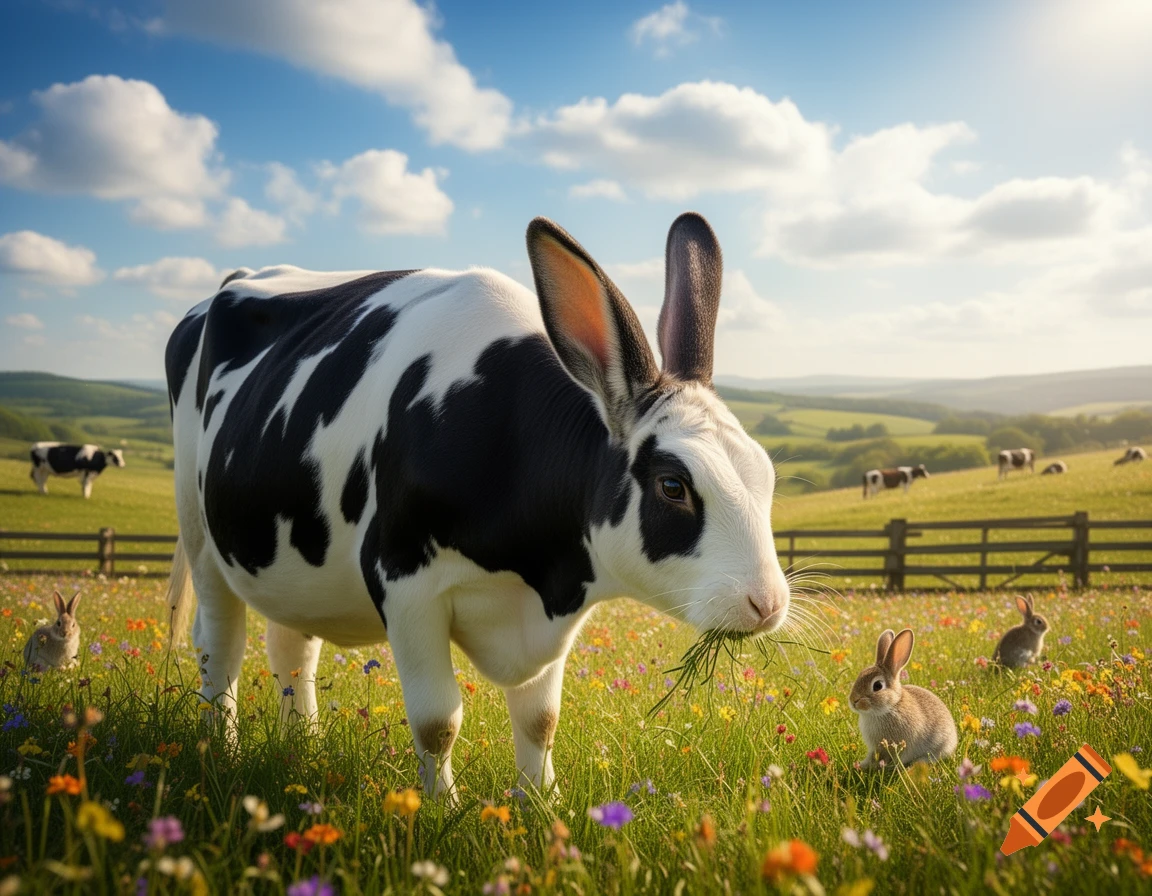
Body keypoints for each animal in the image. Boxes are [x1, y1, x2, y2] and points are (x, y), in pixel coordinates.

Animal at [163, 213, 792, 800]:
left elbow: (540, 720)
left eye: (766, 475)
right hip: (200, 531)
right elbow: (437, 721)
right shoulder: (403, 582)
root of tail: (239, 278)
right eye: (672, 485)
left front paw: (543, 805)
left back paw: (304, 749)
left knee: (292, 647)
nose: (767, 602)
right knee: (220, 646)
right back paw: (221, 751)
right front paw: (442, 807)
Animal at [850, 628, 958, 769]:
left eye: (877, 686)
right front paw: (860, 765)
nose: (853, 701)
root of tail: (954, 739)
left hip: (940, 745)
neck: (891, 706)